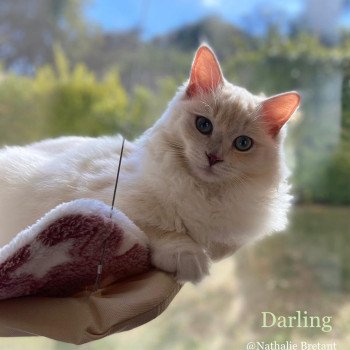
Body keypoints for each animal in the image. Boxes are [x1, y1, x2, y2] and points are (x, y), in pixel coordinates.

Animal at [0, 44, 300, 284]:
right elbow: (163, 229)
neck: (206, 193)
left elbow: (222, 247)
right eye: (204, 125)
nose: (213, 158)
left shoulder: (235, 236)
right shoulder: (111, 201)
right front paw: (189, 257)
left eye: (243, 144)